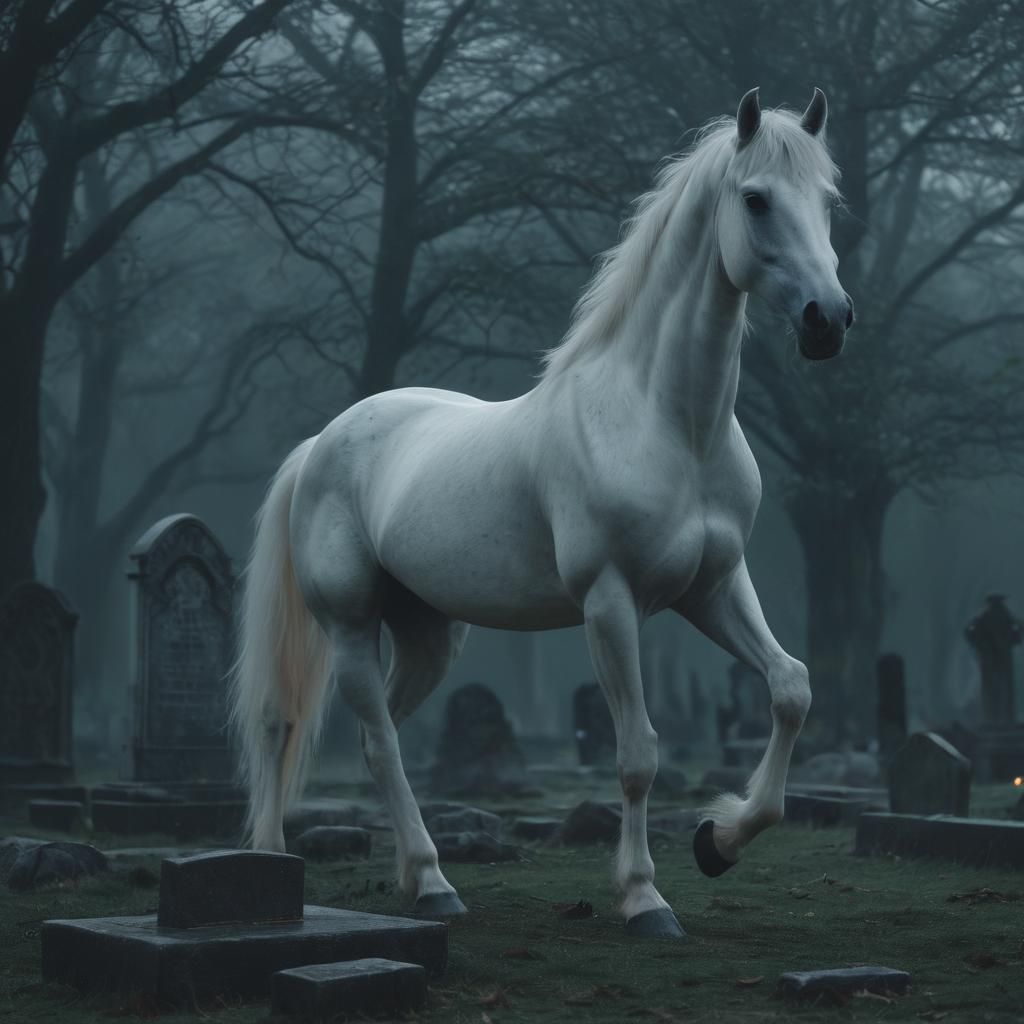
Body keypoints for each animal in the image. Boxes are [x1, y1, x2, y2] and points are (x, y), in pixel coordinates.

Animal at [230, 87, 853, 939]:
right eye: (756, 200)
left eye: (827, 201)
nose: (830, 319)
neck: (667, 423)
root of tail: (322, 443)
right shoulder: (610, 602)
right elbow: (637, 754)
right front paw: (644, 898)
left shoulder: (714, 587)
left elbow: (792, 687)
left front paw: (718, 841)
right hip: (351, 625)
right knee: (360, 738)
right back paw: (402, 879)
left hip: (429, 639)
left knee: (372, 736)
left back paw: (414, 876)